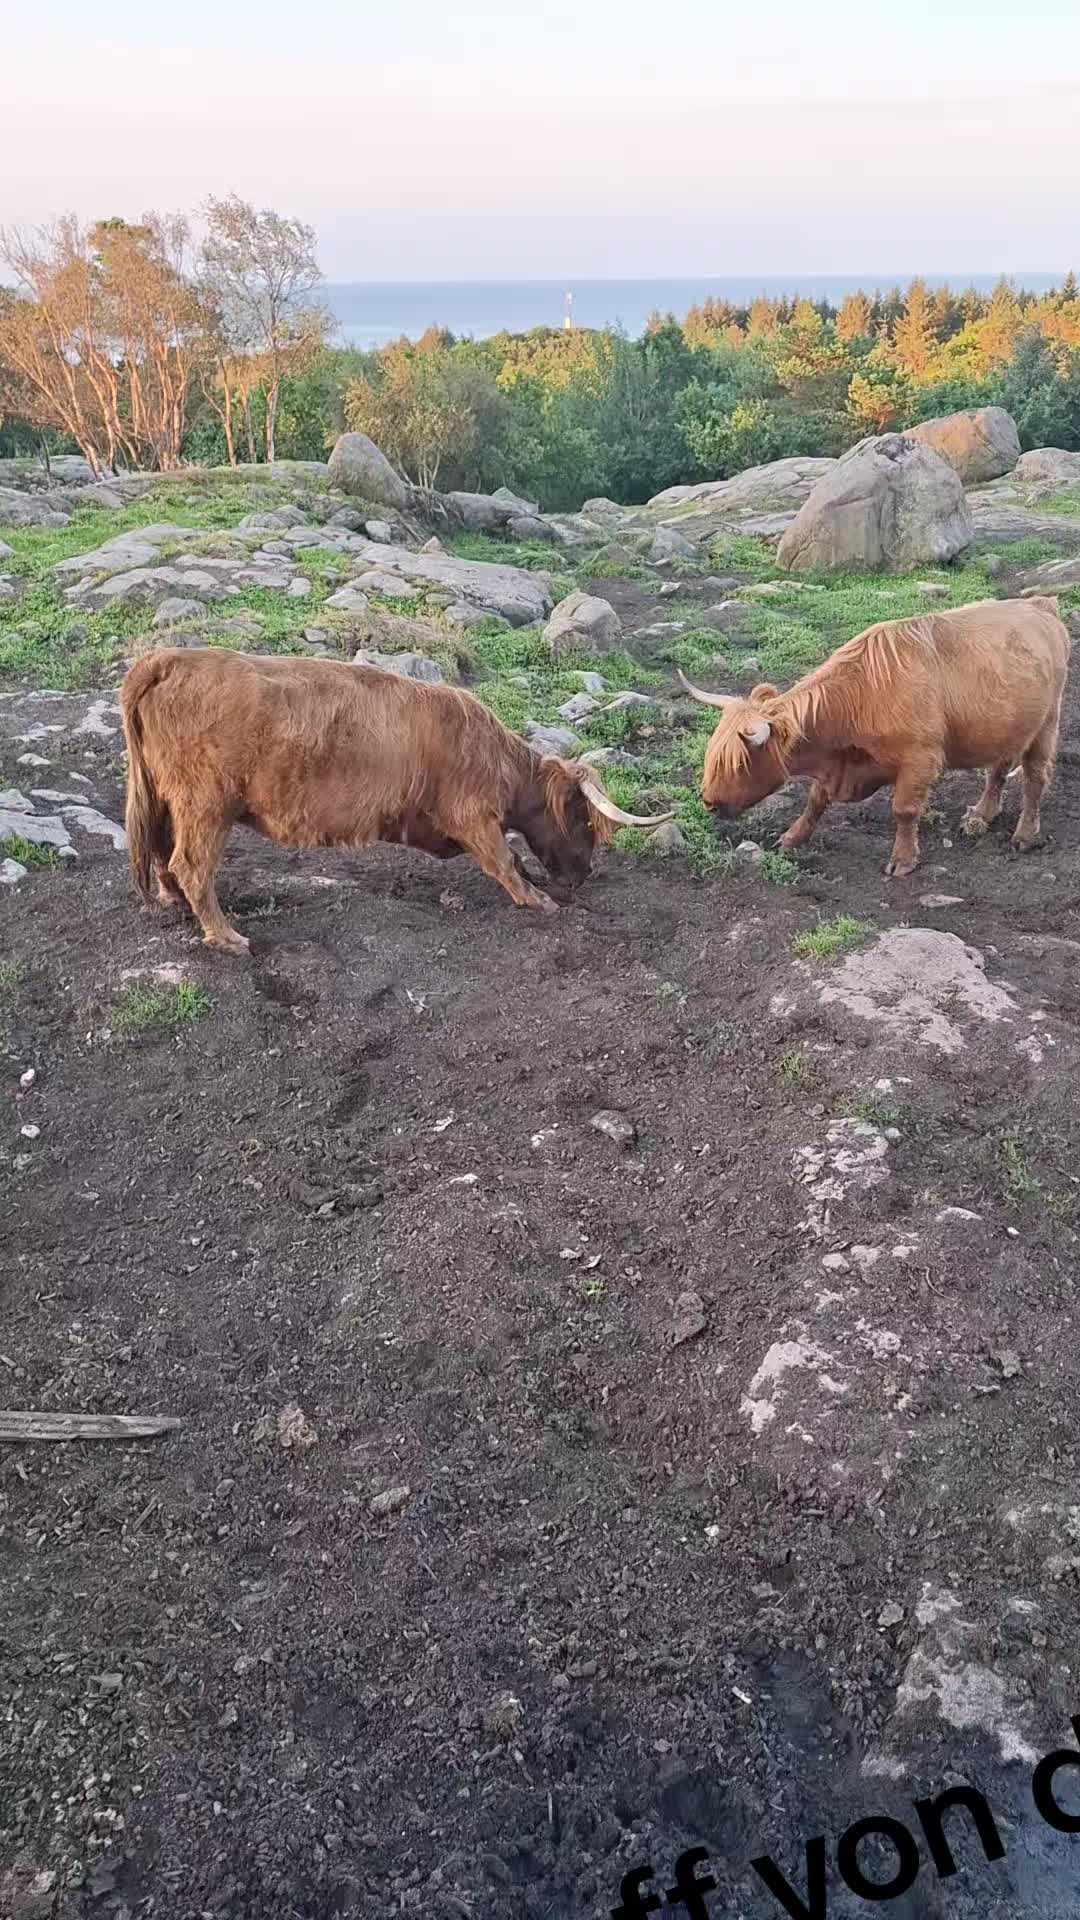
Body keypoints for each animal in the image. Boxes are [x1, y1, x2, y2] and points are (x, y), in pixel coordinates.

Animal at [120, 647, 673, 954]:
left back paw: (176, 902)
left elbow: (512, 858)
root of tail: (166, 658)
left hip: (168, 796)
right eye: (586, 821)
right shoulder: (473, 816)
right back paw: (228, 938)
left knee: (164, 853)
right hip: (205, 801)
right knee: (191, 862)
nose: (585, 874)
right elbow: (504, 861)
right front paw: (538, 900)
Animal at [678, 596, 1071, 877]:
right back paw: (981, 814)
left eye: (740, 761)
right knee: (998, 768)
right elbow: (815, 801)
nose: (708, 801)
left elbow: (904, 810)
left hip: (1046, 724)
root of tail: (1039, 604)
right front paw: (792, 837)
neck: (861, 699)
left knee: (1035, 778)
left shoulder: (920, 758)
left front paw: (903, 860)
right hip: (1009, 723)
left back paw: (1024, 835)